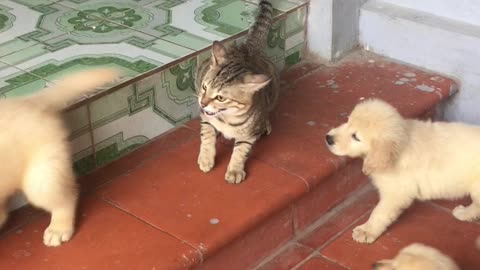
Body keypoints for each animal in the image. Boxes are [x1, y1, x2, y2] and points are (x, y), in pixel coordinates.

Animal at [194, 0, 280, 184]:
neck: (227, 117)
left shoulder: (248, 136)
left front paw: (234, 170)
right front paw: (206, 158)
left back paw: (265, 124)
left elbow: (241, 151)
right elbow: (207, 136)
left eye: (220, 97)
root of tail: (248, 47)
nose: (202, 102)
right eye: (204, 87)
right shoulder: (206, 118)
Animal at [326, 98, 480, 244]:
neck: (402, 141)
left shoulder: (396, 192)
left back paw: (464, 213)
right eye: (347, 121)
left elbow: (379, 212)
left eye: (356, 137)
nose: (328, 138)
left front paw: (366, 231)